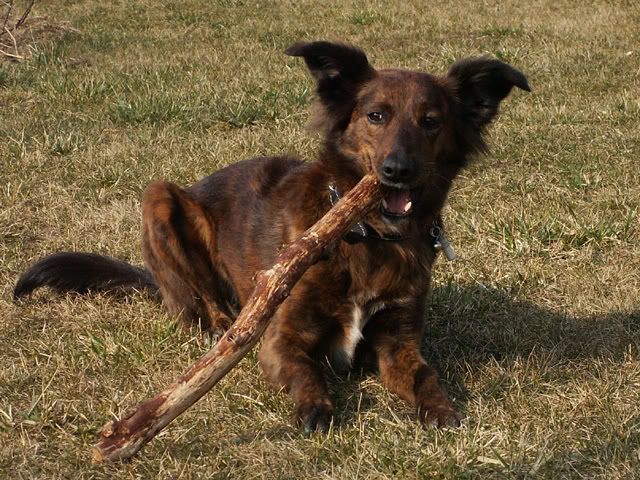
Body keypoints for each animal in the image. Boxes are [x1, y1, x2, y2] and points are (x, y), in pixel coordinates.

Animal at [14, 41, 529, 432]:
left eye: (431, 120)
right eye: (376, 116)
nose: (396, 171)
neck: (367, 238)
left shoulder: (398, 342)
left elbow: (424, 377)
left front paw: (442, 411)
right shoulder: (282, 339)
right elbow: (305, 371)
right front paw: (316, 409)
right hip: (159, 199)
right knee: (204, 308)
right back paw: (221, 326)